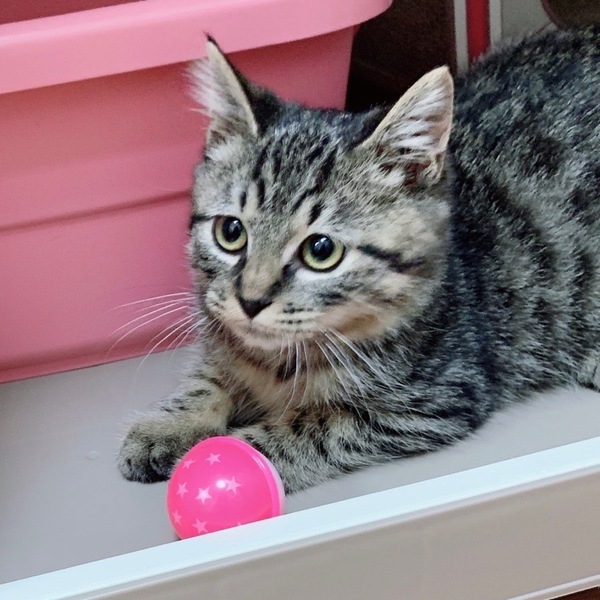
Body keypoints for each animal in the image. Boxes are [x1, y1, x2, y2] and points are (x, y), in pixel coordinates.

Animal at [118, 26, 600, 494]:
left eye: (321, 251)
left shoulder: (432, 398)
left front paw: (235, 458)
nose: (250, 301)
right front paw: (171, 423)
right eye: (230, 232)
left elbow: (312, 427)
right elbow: (212, 373)